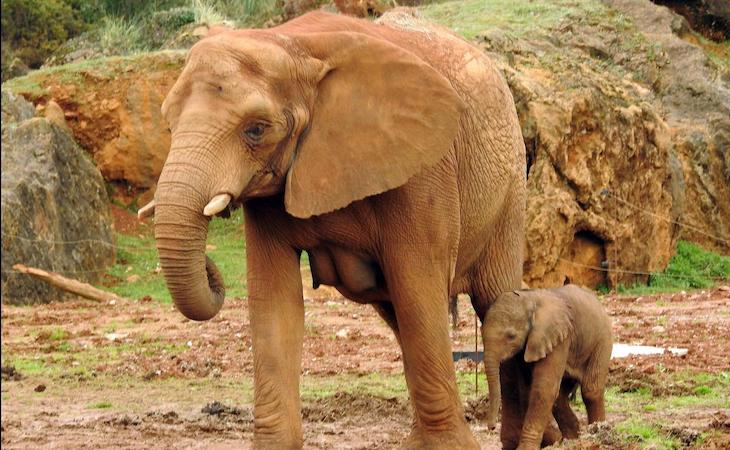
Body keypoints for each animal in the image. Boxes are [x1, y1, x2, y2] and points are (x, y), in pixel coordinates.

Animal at [140, 9, 526, 449]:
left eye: (256, 129)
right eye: (169, 125)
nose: (211, 264)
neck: (293, 44)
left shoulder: (424, 170)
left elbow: (418, 289)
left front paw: (449, 447)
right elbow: (275, 304)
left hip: (510, 186)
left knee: (495, 299)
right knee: (398, 316)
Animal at [482, 285, 613, 450]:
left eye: (511, 336)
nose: (491, 427)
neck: (530, 298)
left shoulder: (559, 337)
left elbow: (543, 388)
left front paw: (525, 448)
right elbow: (527, 388)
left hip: (602, 340)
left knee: (591, 390)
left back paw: (598, 434)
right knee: (560, 396)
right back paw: (571, 440)